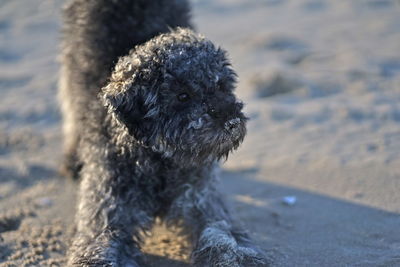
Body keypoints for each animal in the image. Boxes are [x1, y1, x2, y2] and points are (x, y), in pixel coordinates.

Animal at [57, 0, 268, 266]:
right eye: (182, 96)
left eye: (221, 85)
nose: (232, 122)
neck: (159, 163)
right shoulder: (108, 209)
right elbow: (98, 245)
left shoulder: (201, 198)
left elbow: (220, 231)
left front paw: (233, 256)